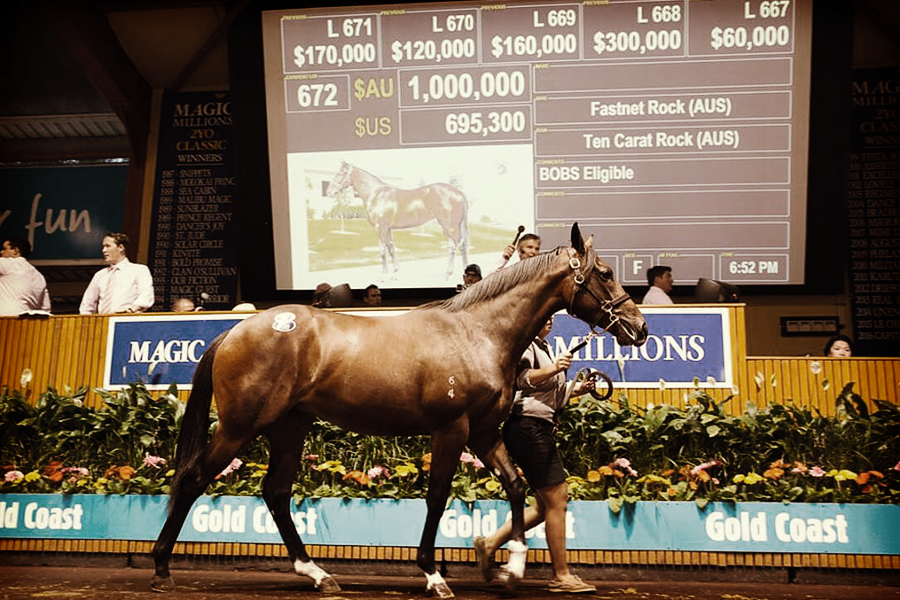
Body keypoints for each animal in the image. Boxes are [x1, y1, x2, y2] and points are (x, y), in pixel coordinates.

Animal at [153, 224, 648, 596]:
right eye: (605, 273)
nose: (640, 328)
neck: (478, 333)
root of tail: (234, 331)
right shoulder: (452, 430)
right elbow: (437, 497)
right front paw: (432, 574)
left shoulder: (484, 433)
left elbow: (516, 486)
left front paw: (511, 569)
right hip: (241, 426)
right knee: (193, 480)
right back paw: (161, 568)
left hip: (289, 427)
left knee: (275, 492)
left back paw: (317, 573)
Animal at [328, 162, 472, 278]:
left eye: (341, 173)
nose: (329, 192)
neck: (376, 195)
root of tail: (458, 192)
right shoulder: (387, 228)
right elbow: (391, 248)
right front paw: (395, 270)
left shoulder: (380, 228)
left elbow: (382, 250)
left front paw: (384, 273)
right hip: (445, 226)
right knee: (452, 247)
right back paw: (448, 273)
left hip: (452, 227)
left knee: (461, 246)